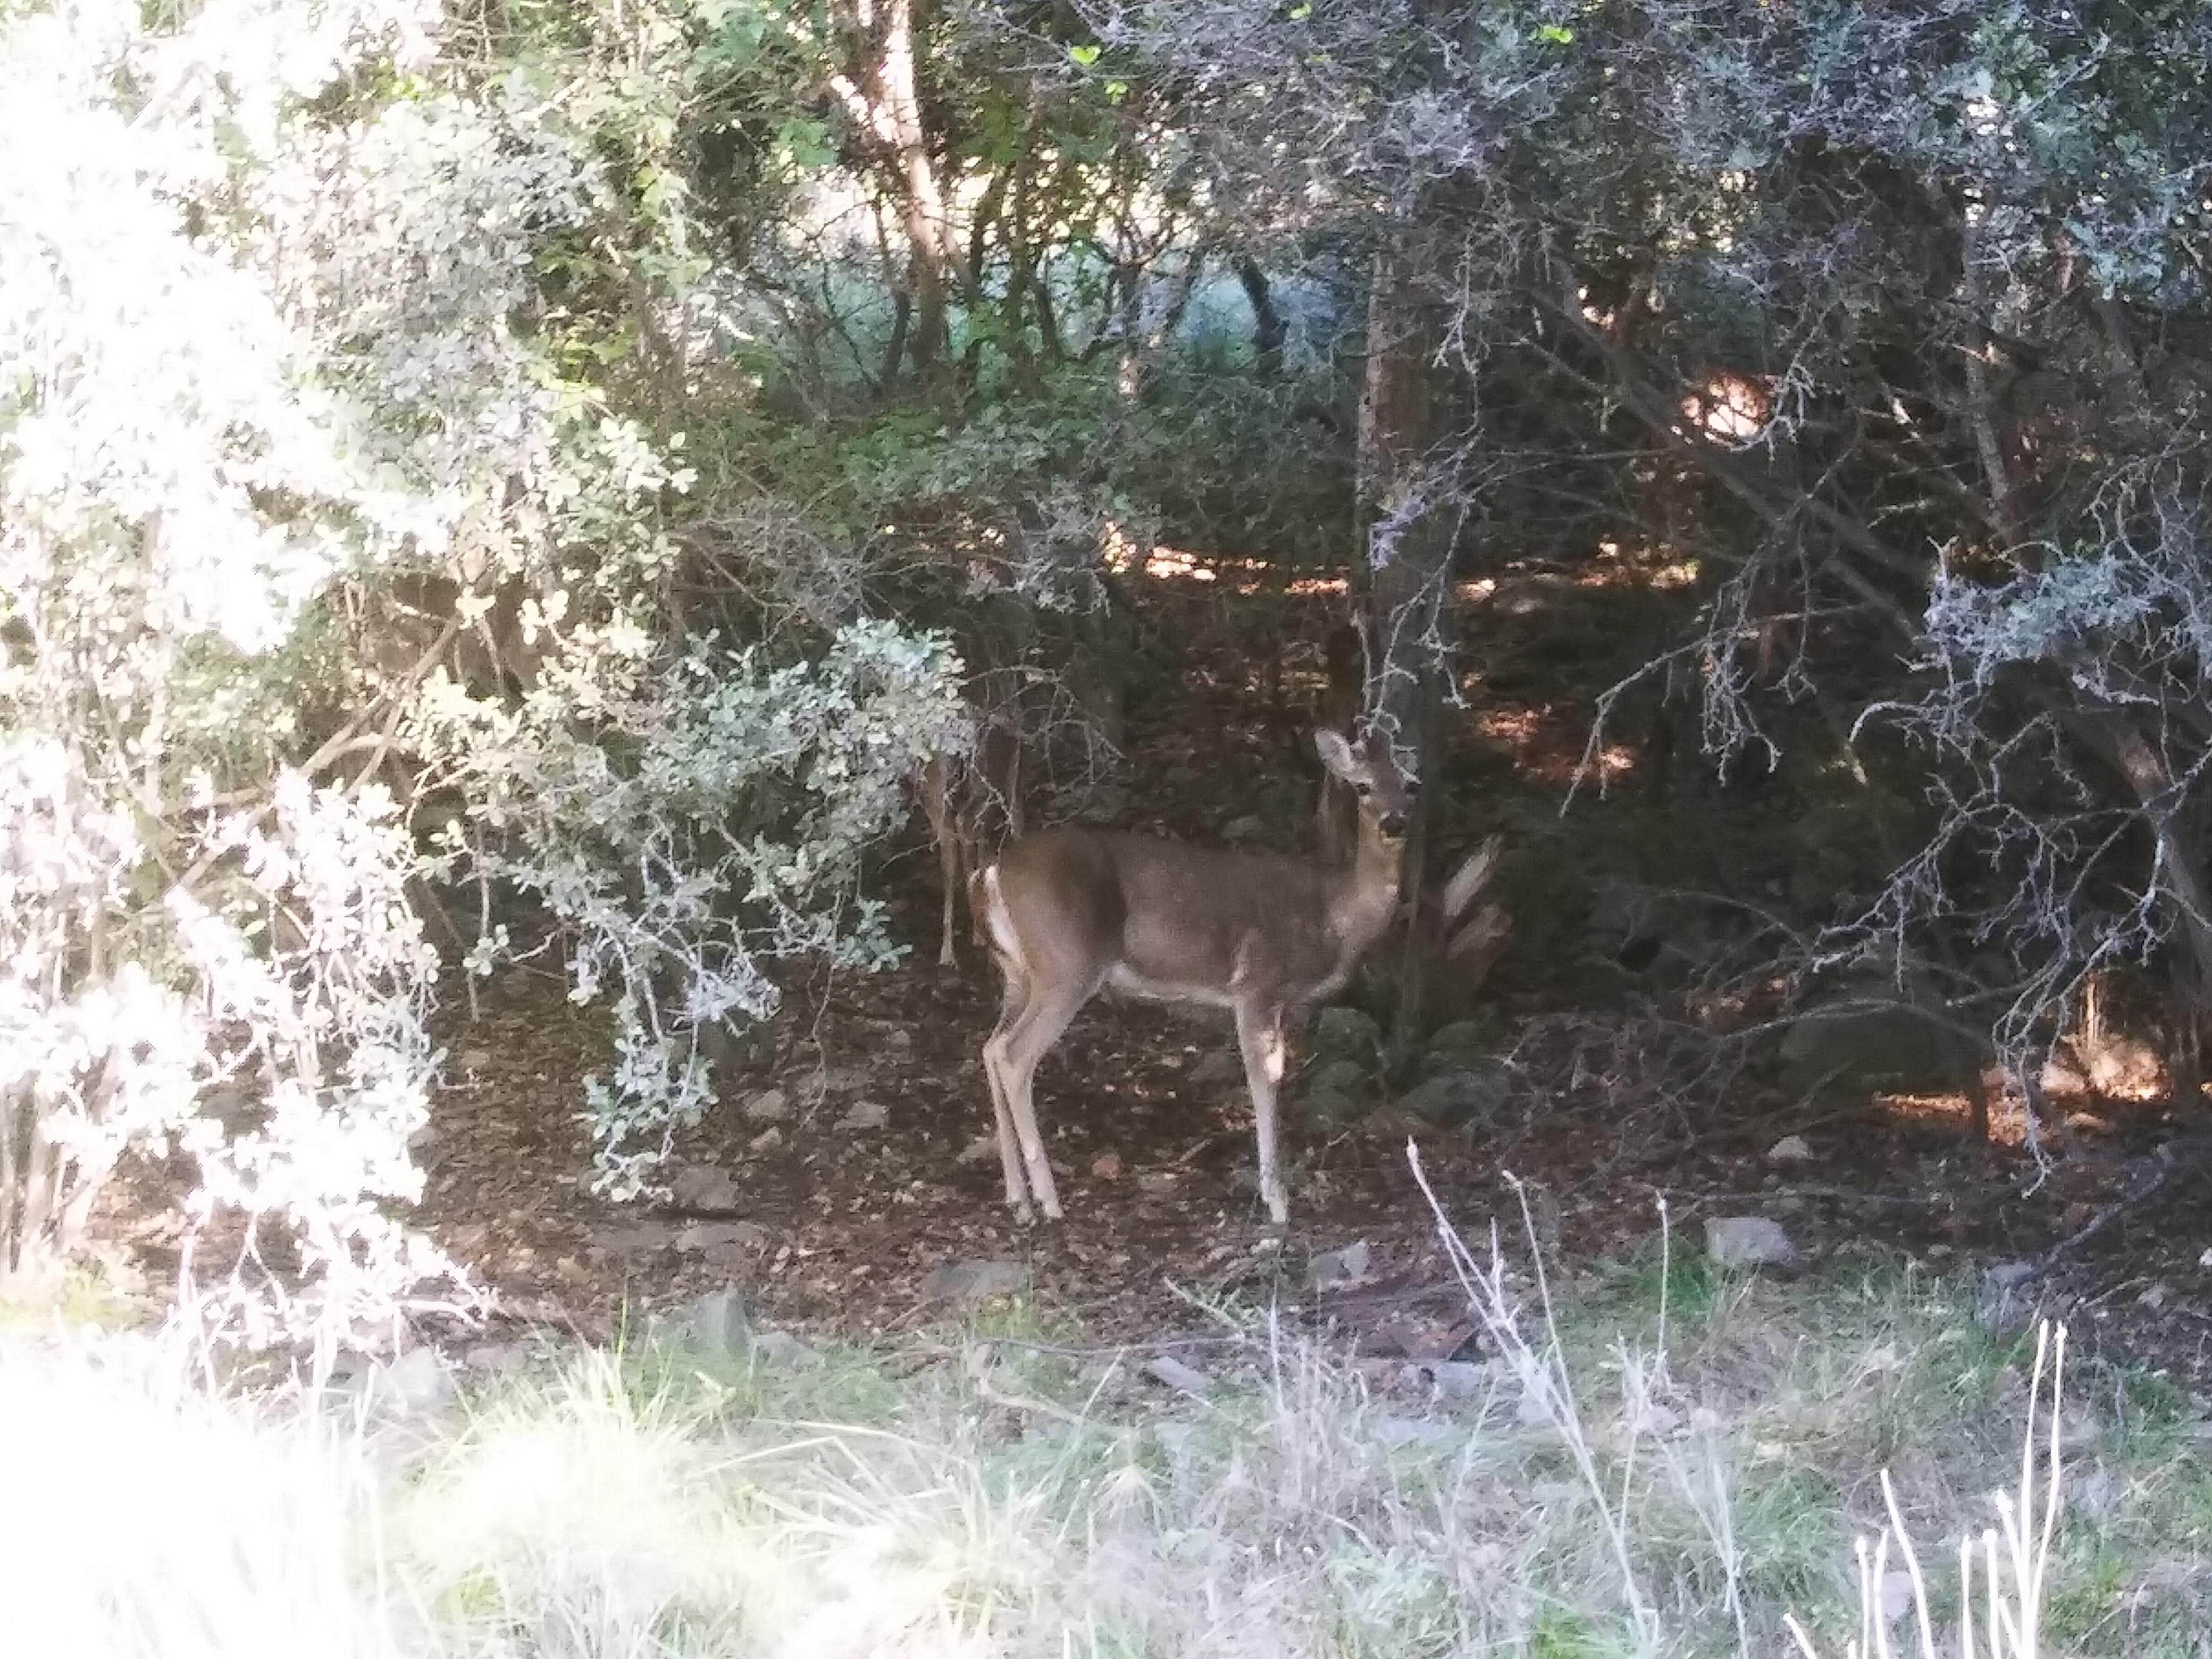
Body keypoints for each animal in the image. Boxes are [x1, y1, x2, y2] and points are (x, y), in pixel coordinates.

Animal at [973, 734, 1415, 1229]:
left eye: (1410, 786)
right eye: (1362, 787)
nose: (1395, 822)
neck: (1333, 918)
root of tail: (989, 874)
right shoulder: (1257, 985)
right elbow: (1264, 1081)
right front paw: (1277, 1202)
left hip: (1018, 974)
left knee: (991, 1046)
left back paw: (1018, 1199)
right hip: (1066, 965)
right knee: (1015, 1055)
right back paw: (1048, 1201)